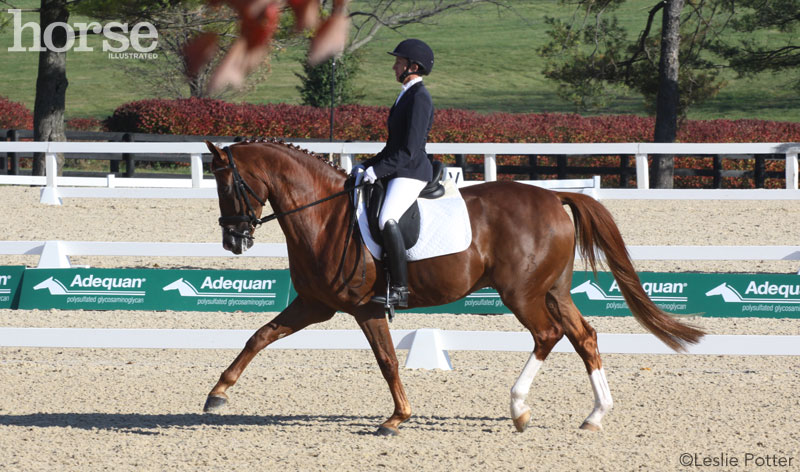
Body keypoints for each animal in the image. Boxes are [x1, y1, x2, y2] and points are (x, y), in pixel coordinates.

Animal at [202, 139, 704, 435]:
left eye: (228, 185)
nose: (233, 240)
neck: (324, 216)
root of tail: (554, 196)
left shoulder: (366, 308)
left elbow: (387, 361)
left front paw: (396, 418)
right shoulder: (313, 304)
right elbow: (259, 337)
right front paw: (217, 394)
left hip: (522, 294)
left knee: (548, 335)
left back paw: (519, 410)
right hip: (553, 291)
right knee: (584, 336)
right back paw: (594, 415)